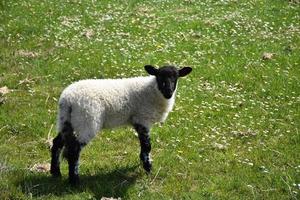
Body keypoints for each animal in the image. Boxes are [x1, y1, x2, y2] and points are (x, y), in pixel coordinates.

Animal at [49, 64, 192, 184]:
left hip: (65, 121)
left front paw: (143, 163)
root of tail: (68, 99)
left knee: (57, 144)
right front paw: (148, 168)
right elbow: (147, 146)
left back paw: (56, 173)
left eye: (176, 77)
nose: (168, 91)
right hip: (86, 121)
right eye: (159, 76)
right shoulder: (143, 119)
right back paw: (75, 181)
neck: (153, 91)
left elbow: (143, 146)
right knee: (74, 151)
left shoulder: (137, 121)